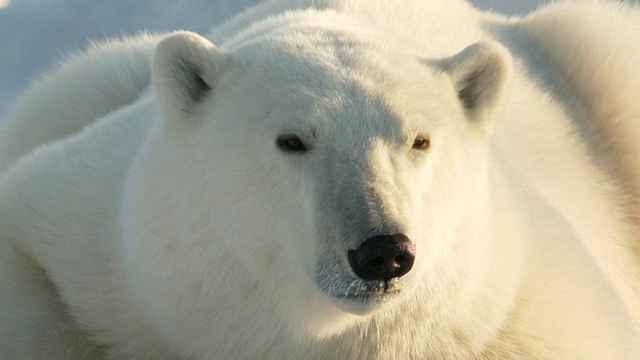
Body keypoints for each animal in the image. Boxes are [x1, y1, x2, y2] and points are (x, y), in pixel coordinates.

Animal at [1, 0, 640, 358]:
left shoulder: (516, 307)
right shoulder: (118, 250)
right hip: (91, 79)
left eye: (419, 139)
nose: (383, 252)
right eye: (292, 140)